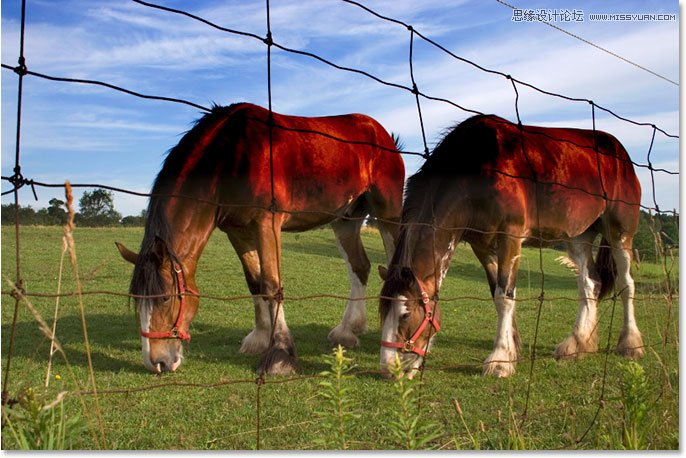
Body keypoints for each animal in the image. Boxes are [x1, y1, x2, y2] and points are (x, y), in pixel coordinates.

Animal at [115, 102, 406, 374]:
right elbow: (255, 283)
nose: (157, 362)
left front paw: (280, 353)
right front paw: (260, 337)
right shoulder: (238, 232)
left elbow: (271, 284)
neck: (229, 157)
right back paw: (348, 331)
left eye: (165, 298)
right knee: (359, 266)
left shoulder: (267, 224)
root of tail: (383, 134)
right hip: (345, 221)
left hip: (387, 213)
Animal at [382, 115, 644, 380]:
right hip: (579, 237)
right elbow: (497, 293)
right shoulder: (482, 246)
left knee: (626, 283)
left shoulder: (510, 237)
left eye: (405, 315)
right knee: (590, 284)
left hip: (620, 233)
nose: (389, 369)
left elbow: (504, 297)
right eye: (381, 310)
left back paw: (631, 344)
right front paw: (512, 348)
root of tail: (620, 152)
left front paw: (500, 360)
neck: (474, 171)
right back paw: (577, 344)